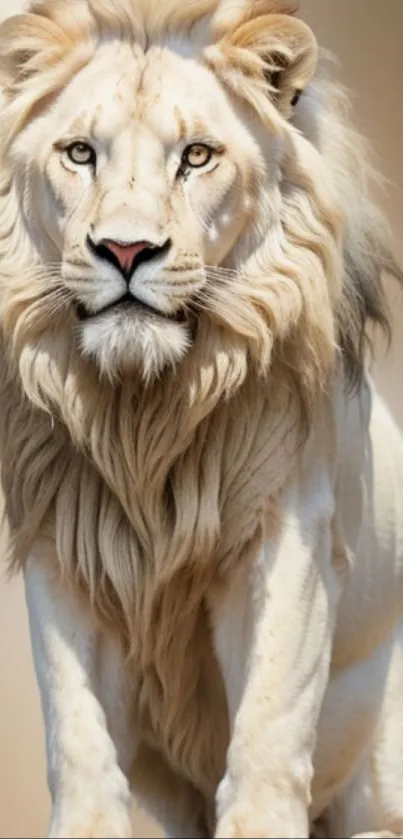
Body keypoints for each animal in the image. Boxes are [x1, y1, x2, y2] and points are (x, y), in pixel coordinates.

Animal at [0, 0, 403, 836]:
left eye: (196, 156)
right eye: (79, 153)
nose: (125, 250)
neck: (143, 415)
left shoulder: (291, 532)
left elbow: (270, 722)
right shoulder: (61, 544)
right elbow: (76, 732)